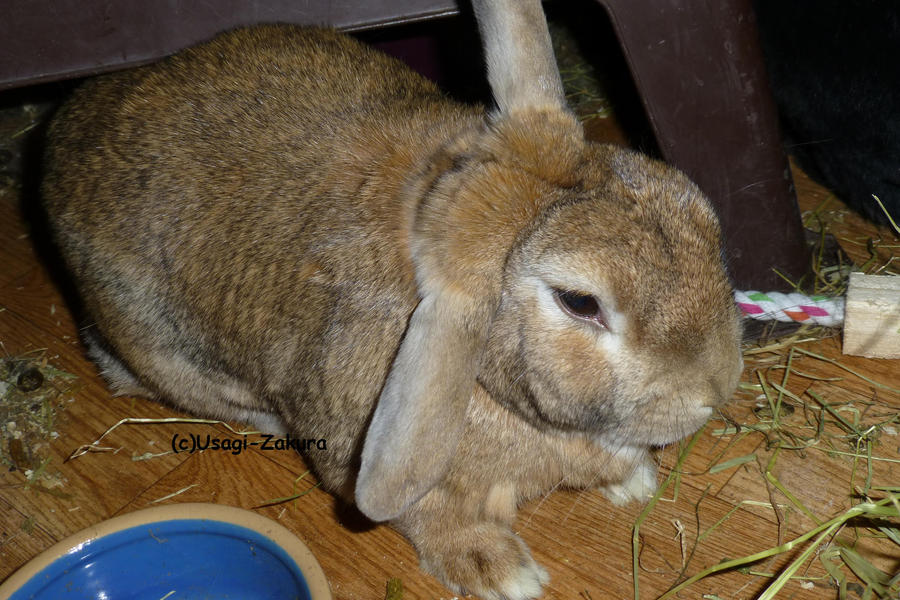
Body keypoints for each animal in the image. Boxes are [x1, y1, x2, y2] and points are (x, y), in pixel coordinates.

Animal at [41, 0, 744, 597]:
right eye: (580, 303)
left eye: (698, 208)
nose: (717, 388)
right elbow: (430, 516)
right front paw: (499, 571)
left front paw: (634, 479)